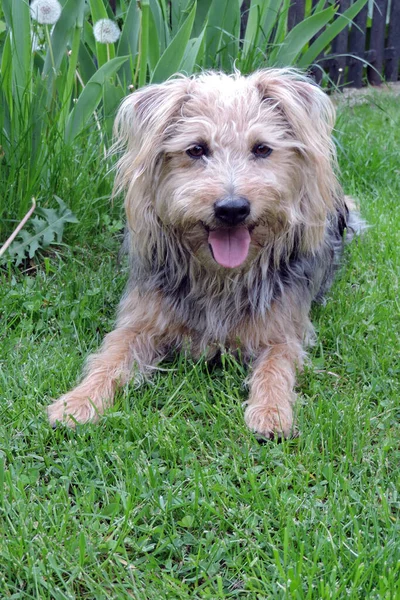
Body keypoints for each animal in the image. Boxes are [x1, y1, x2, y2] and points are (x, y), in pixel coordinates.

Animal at [47, 69, 362, 436]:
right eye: (196, 149)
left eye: (262, 149)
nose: (232, 208)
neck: (219, 277)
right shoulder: (140, 320)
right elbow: (109, 358)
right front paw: (78, 402)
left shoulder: (283, 329)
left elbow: (276, 366)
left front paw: (271, 411)